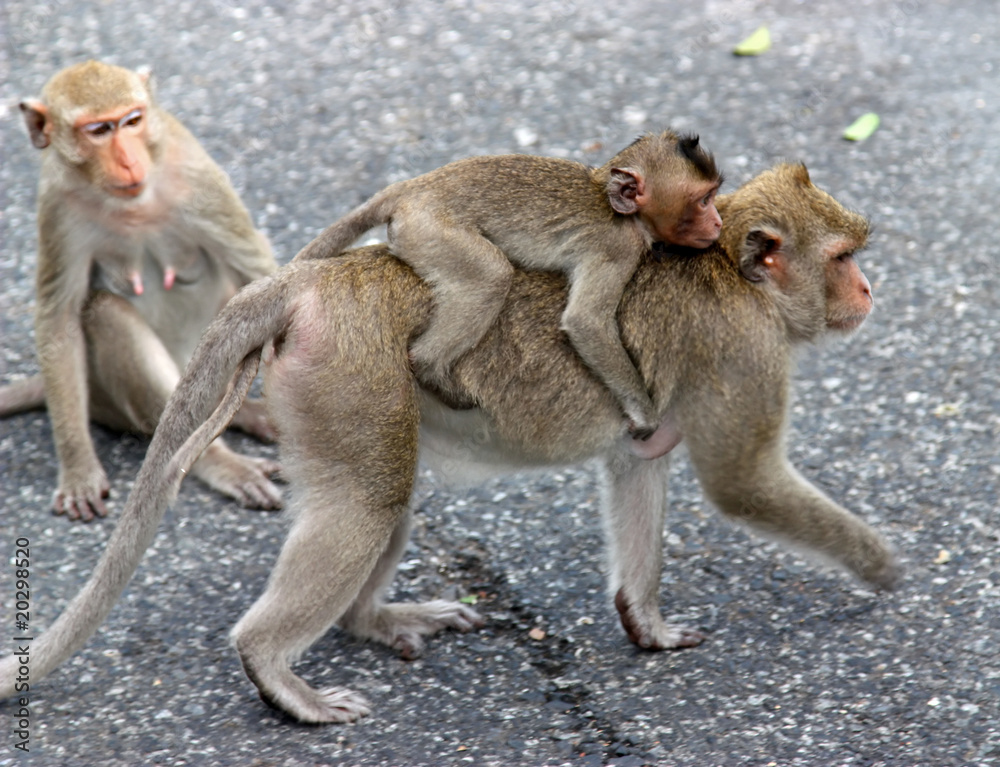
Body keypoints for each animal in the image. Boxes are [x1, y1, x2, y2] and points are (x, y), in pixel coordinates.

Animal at [0, 60, 282, 521]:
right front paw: (78, 468)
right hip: (106, 398)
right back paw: (214, 459)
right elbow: (59, 318)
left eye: (132, 121)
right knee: (105, 313)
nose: (129, 161)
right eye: (99, 130)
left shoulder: (197, 176)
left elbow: (258, 270)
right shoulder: (57, 202)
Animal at [0, 163, 899, 724]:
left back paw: (371, 619)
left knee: (382, 504)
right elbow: (740, 481)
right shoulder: (745, 354)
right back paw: (276, 671)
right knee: (369, 504)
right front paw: (877, 564)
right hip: (352, 374)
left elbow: (637, 459)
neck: (733, 280)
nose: (867, 288)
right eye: (843, 257)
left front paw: (645, 620)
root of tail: (316, 280)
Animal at [294, 131, 723, 438]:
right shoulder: (618, 249)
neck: (622, 210)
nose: (717, 223)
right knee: (489, 277)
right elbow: (586, 322)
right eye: (703, 200)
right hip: (430, 230)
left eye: (714, 194)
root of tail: (414, 187)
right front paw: (644, 413)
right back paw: (432, 368)